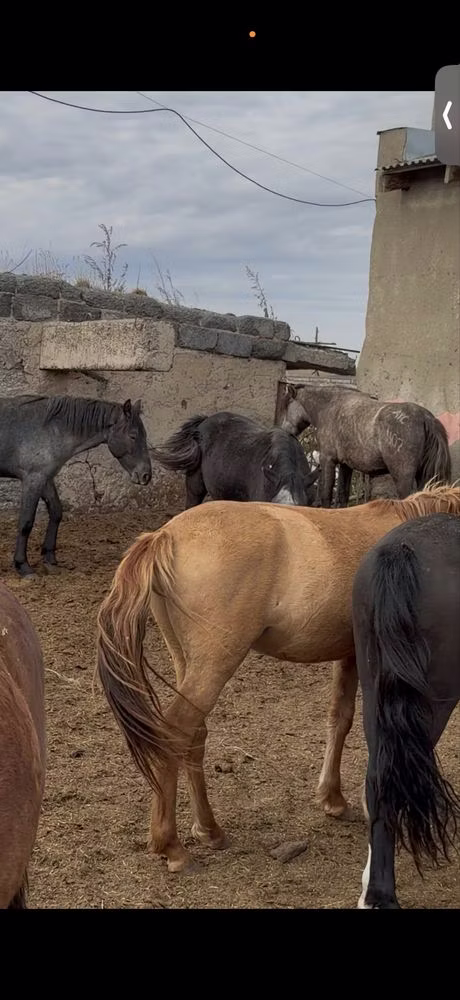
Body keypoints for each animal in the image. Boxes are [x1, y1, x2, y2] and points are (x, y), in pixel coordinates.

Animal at [0, 394, 152, 577]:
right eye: (133, 435)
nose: (146, 475)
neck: (48, 428)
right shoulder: (33, 479)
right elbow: (26, 522)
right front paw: (23, 565)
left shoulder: (45, 478)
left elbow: (56, 512)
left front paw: (49, 559)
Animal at [278, 384, 452, 508]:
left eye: (287, 405)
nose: (285, 430)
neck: (330, 407)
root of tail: (424, 417)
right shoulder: (345, 466)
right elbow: (342, 495)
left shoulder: (327, 460)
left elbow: (326, 494)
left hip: (403, 476)